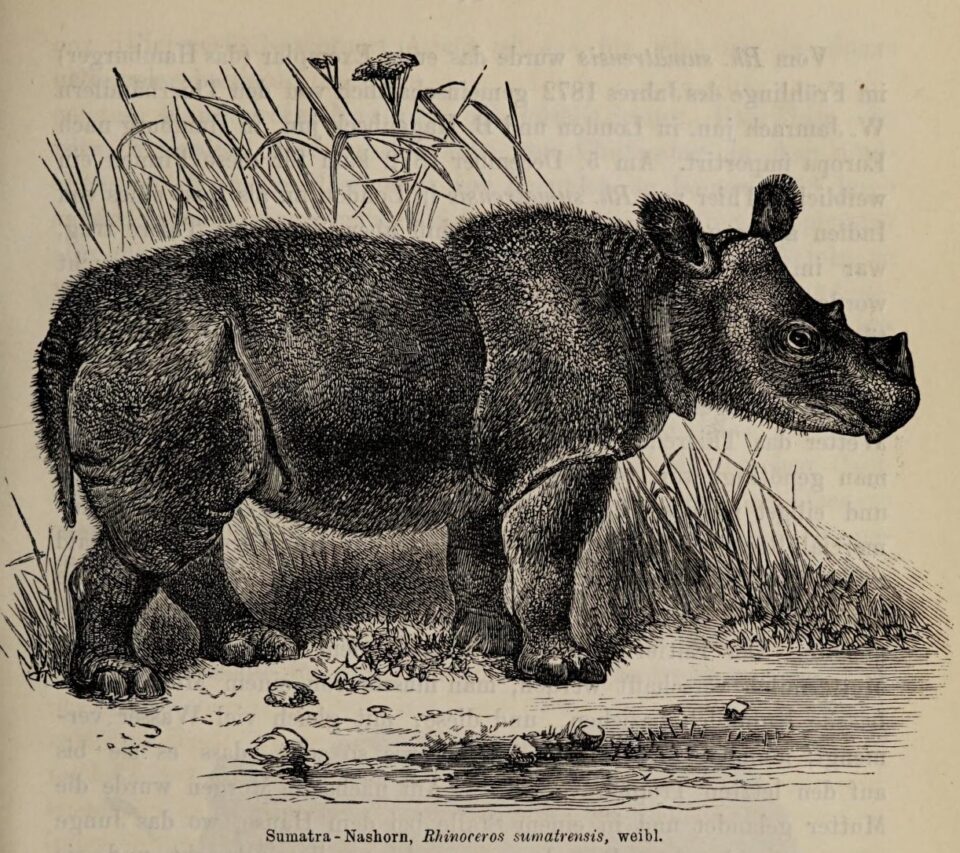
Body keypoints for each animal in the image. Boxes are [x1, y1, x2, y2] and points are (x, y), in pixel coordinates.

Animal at [34, 174, 919, 698]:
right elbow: (549, 554)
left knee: (183, 520)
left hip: (165, 363)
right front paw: (565, 668)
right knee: (172, 516)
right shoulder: (568, 451)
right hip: (168, 359)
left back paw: (259, 648)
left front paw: (488, 644)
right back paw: (123, 683)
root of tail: (73, 321)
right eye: (798, 341)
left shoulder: (496, 462)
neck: (660, 293)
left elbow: (481, 551)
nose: (905, 405)